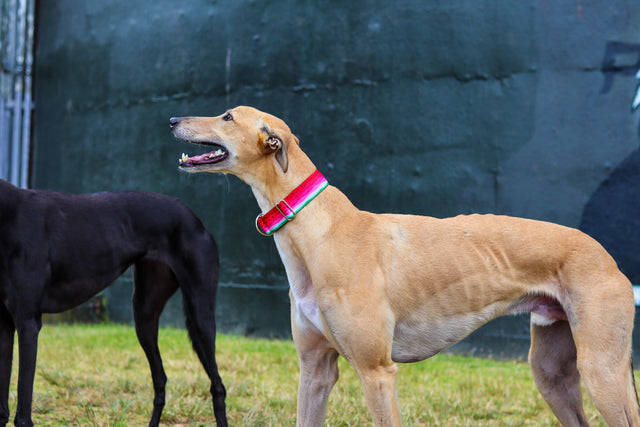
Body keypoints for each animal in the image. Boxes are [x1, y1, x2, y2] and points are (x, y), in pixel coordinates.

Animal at [0, 181, 228, 427]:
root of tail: (192, 216)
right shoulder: (4, 325)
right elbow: (2, 408)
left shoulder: (28, 323)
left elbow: (23, 414)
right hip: (144, 315)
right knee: (160, 380)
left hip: (200, 314)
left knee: (218, 386)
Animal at [170, 107, 640, 427]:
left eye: (228, 116)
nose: (173, 118)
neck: (321, 229)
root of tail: (608, 257)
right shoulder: (315, 368)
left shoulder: (377, 371)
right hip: (551, 371)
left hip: (603, 369)